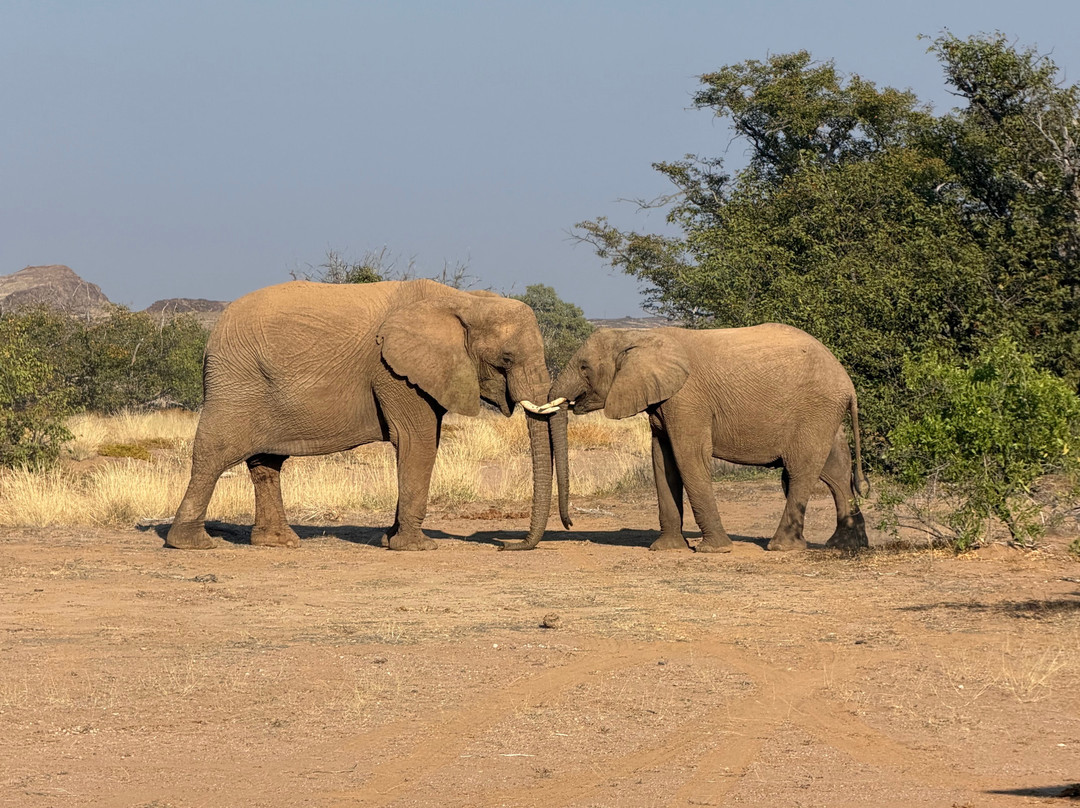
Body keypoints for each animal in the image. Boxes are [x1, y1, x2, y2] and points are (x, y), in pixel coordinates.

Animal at [165, 278, 570, 551]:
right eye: (506, 359)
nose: (509, 545)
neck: (463, 301)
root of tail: (213, 336)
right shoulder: (392, 371)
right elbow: (417, 441)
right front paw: (417, 547)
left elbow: (421, 443)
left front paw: (390, 539)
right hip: (237, 382)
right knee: (215, 453)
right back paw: (193, 543)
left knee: (266, 463)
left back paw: (279, 542)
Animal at [507, 324, 869, 552]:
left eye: (584, 367)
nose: (569, 524)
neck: (639, 338)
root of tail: (848, 383)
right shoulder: (662, 402)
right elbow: (663, 461)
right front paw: (667, 549)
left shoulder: (687, 399)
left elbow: (688, 457)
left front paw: (715, 550)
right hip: (823, 413)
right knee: (834, 471)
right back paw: (846, 547)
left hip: (815, 408)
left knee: (799, 471)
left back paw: (782, 547)